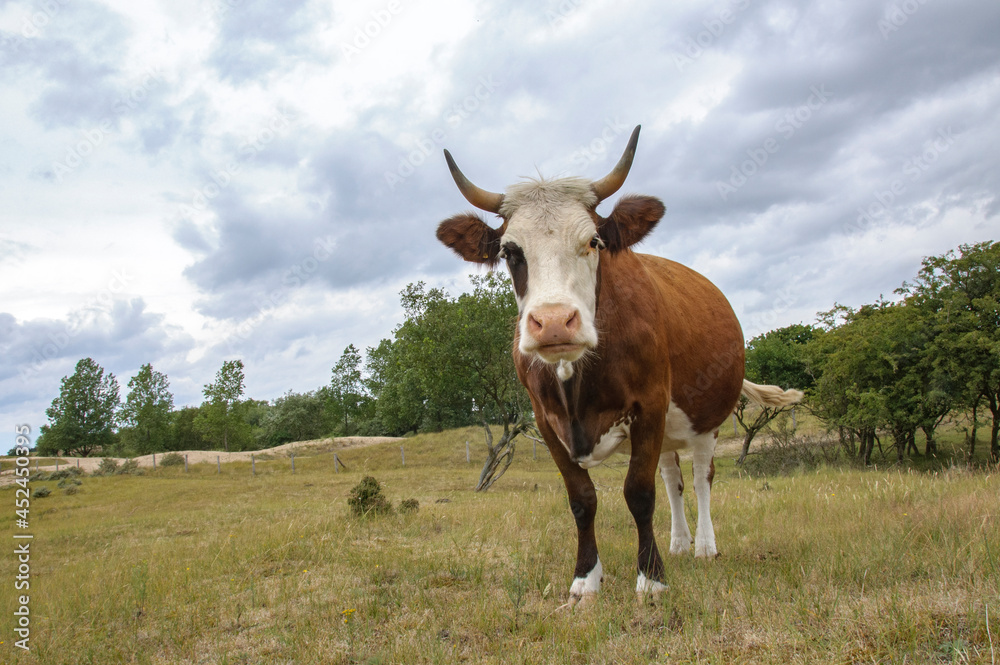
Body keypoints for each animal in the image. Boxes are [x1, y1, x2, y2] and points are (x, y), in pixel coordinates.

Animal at [434, 126, 800, 608]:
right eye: (511, 251)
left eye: (594, 242)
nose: (554, 322)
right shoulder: (547, 422)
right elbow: (582, 499)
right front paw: (585, 579)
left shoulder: (649, 405)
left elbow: (639, 493)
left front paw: (651, 578)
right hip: (668, 431)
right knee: (673, 478)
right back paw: (679, 543)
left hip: (706, 419)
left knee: (701, 477)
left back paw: (704, 546)